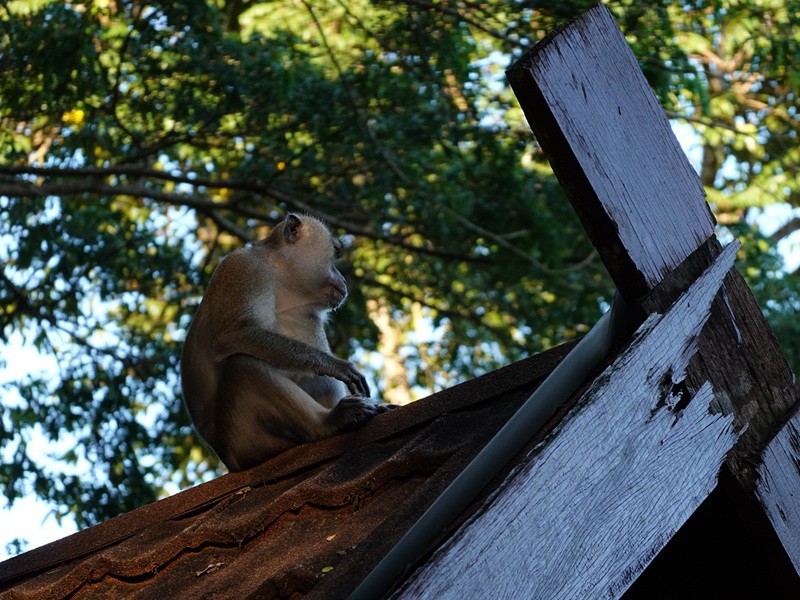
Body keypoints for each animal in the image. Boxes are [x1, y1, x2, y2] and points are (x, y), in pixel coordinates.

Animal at [180, 213, 386, 471]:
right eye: (335, 256)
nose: (343, 279)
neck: (281, 279)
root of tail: (229, 460)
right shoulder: (245, 270)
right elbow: (233, 335)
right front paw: (333, 364)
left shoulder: (308, 313)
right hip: (248, 440)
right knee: (245, 364)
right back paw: (327, 423)